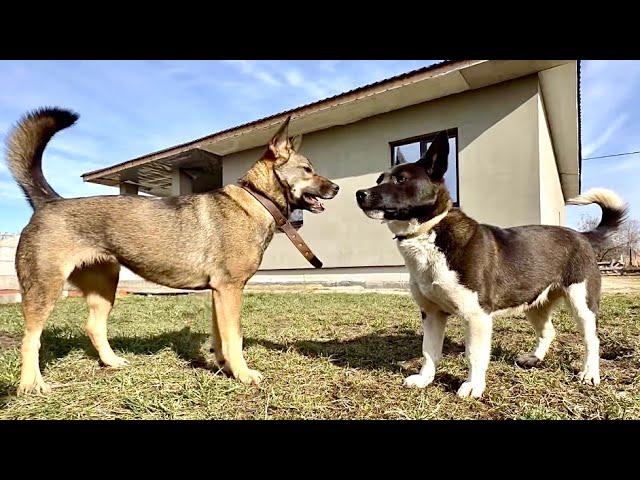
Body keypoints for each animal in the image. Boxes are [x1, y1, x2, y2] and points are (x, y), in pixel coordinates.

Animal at [5, 108, 340, 394]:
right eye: (308, 170)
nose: (337, 188)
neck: (256, 200)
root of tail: (49, 201)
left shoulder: (219, 292)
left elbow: (221, 338)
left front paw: (225, 368)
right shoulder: (229, 289)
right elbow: (234, 337)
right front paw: (244, 374)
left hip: (104, 287)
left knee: (93, 327)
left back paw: (112, 362)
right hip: (45, 288)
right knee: (30, 340)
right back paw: (31, 385)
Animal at [358, 131, 628, 398]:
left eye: (401, 179)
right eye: (380, 179)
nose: (360, 194)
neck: (429, 232)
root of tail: (582, 235)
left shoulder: (476, 315)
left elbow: (474, 355)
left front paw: (473, 386)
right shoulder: (431, 313)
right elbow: (429, 351)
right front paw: (425, 379)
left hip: (582, 302)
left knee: (592, 340)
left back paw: (589, 373)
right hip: (534, 303)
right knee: (548, 331)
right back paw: (534, 358)